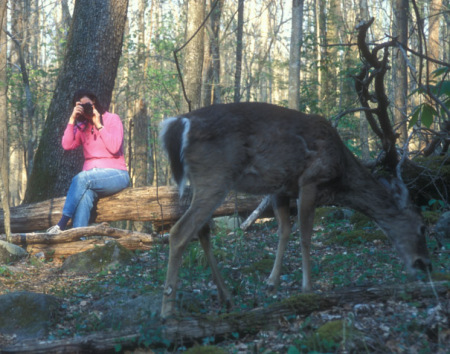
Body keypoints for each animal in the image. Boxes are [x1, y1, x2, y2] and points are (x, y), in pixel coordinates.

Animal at [159, 101, 432, 318]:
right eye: (422, 226)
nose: (425, 265)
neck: (341, 175)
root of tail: (179, 123)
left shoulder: (281, 188)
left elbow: (285, 231)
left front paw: (271, 283)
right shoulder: (310, 181)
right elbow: (305, 236)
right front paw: (308, 288)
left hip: (203, 182)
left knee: (202, 230)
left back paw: (226, 296)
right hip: (215, 176)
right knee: (180, 231)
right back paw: (168, 310)